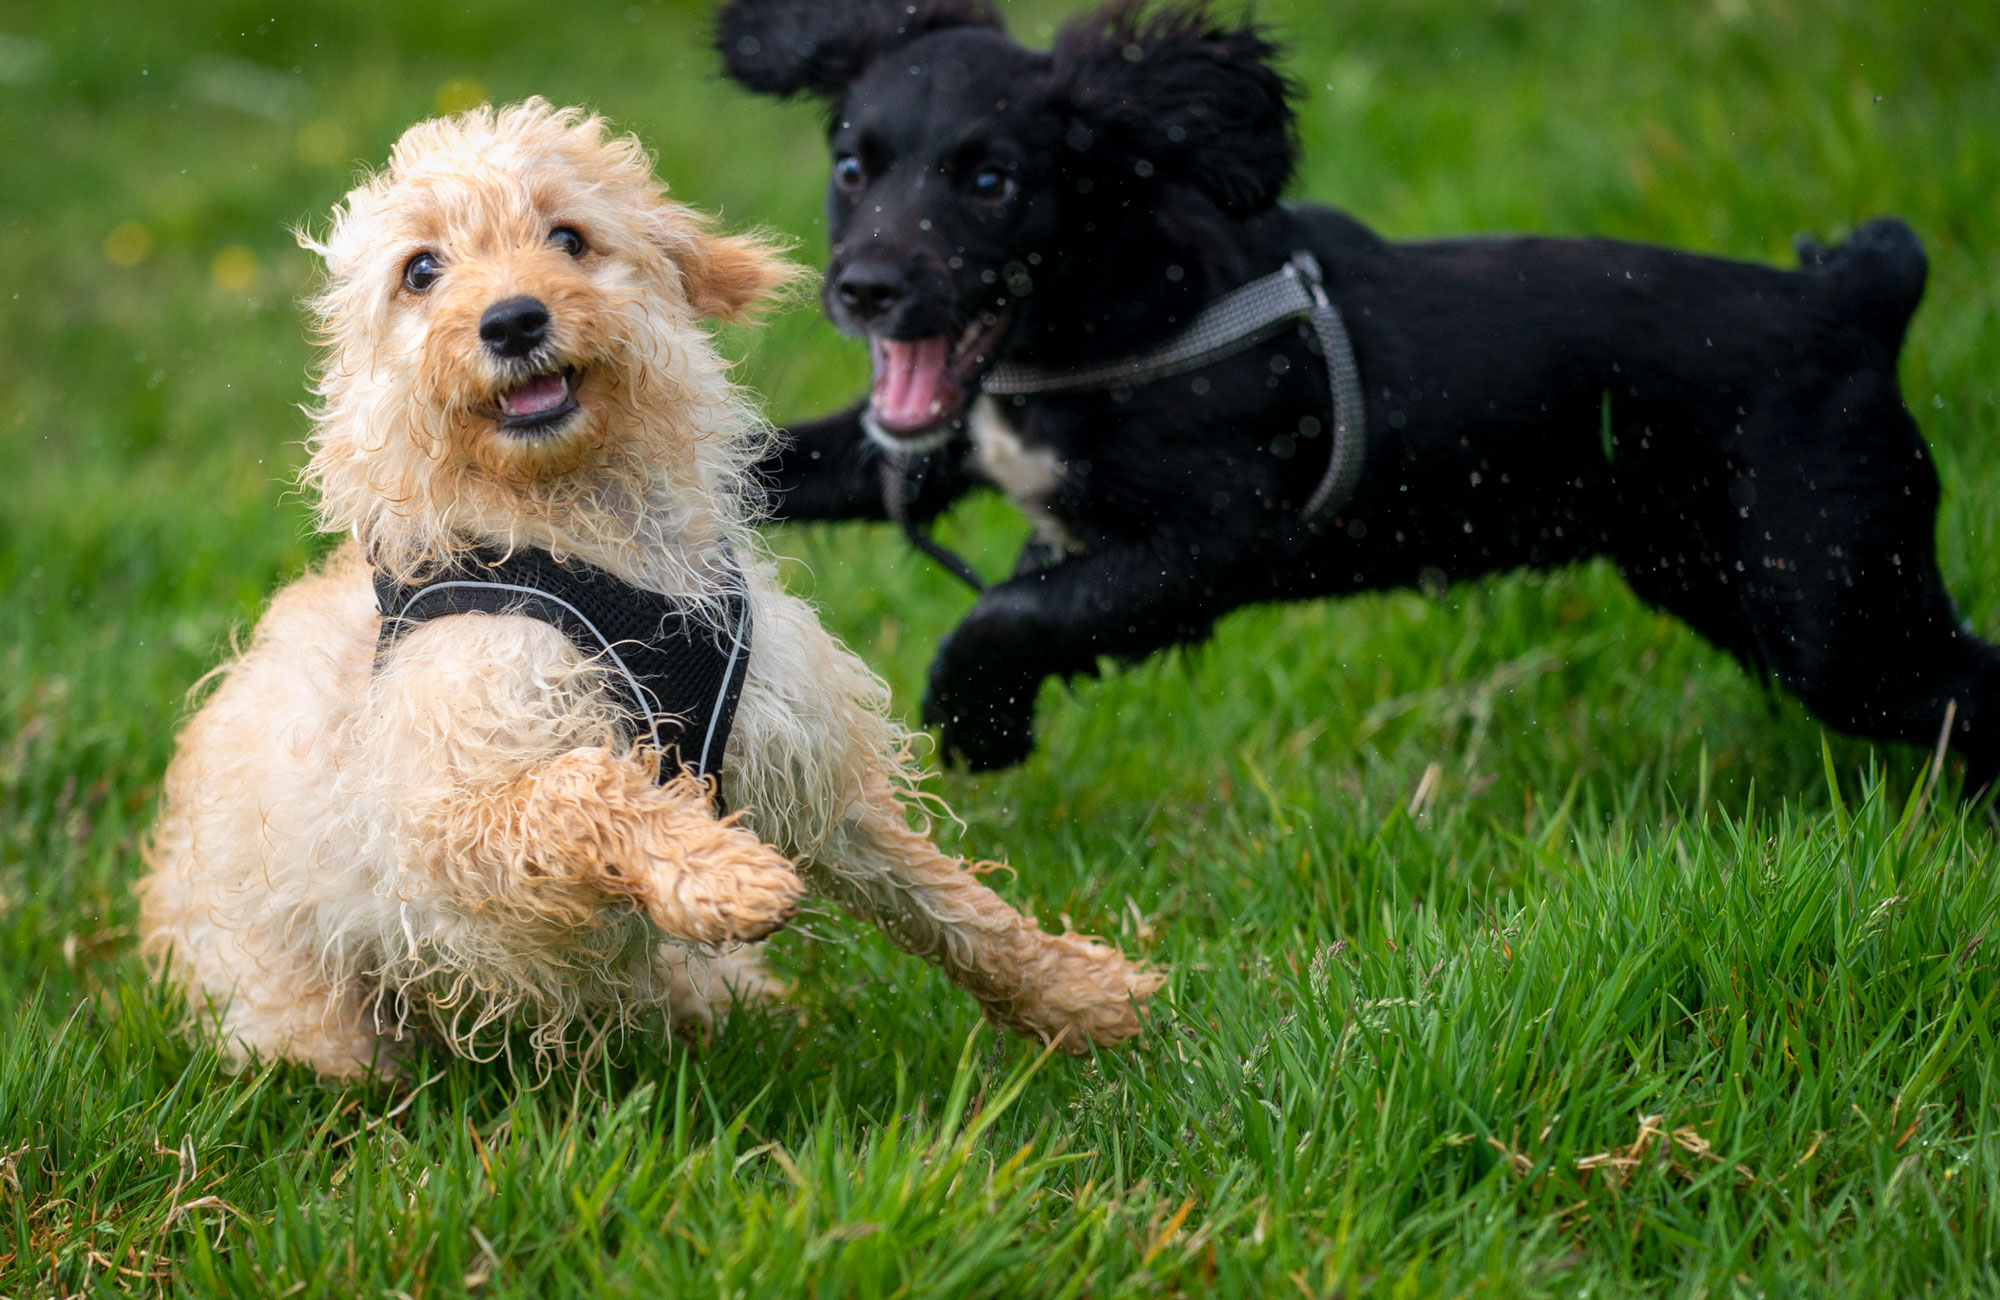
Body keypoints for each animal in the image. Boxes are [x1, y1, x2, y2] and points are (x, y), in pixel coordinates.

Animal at [137, 98, 1160, 1072]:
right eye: (420, 270)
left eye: (568, 237)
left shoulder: (795, 747)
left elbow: (934, 893)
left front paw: (1073, 992)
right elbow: (587, 784)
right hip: (311, 1021)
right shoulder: (447, 819)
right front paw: (723, 876)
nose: (513, 320)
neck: (583, 534)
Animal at [720, 0, 2000, 788]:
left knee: (1963, 688)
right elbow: (775, 462)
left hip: (1835, 603)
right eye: (852, 167)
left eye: (988, 181)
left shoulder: (1211, 540)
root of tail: (1851, 302)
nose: (863, 288)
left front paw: (976, 720)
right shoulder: (927, 447)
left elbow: (1011, 610)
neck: (1119, 317)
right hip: (1728, 580)